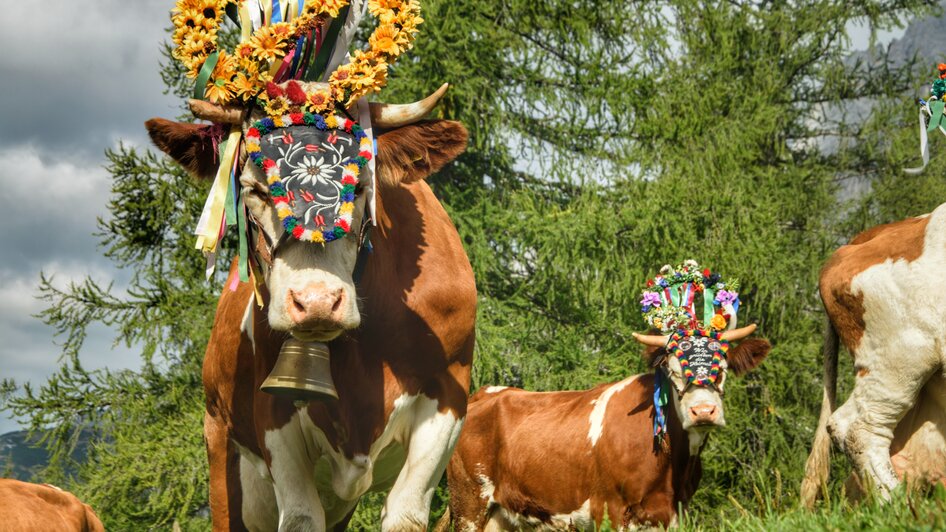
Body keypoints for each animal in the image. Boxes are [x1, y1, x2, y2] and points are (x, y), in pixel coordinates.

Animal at [145, 2, 476, 528]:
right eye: (253, 188)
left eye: (361, 184)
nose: (318, 301)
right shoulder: (273, 413)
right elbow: (300, 516)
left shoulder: (448, 399)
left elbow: (404, 513)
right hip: (221, 447)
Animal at [442, 260, 768, 528]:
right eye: (674, 371)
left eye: (722, 369)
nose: (703, 412)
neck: (671, 469)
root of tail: (484, 394)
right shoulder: (611, 508)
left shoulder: (674, 512)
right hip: (469, 501)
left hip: (504, 514)